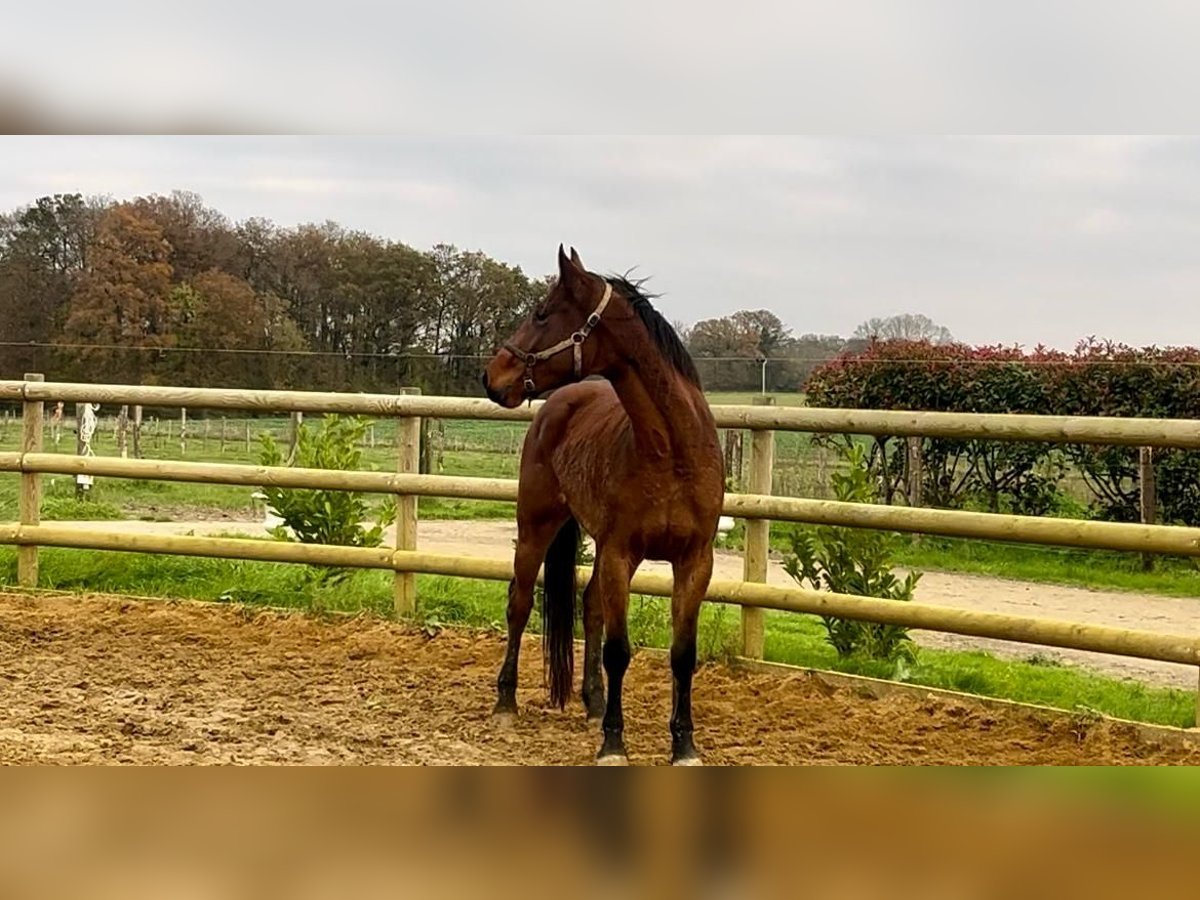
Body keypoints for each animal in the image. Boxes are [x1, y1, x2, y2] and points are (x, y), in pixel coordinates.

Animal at [482, 247, 724, 768]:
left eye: (542, 313)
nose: (490, 376)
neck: (671, 452)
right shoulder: (619, 553)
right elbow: (618, 650)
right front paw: (614, 744)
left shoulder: (696, 561)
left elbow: (683, 654)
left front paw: (684, 745)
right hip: (535, 526)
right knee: (519, 603)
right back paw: (506, 702)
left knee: (589, 605)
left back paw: (592, 702)